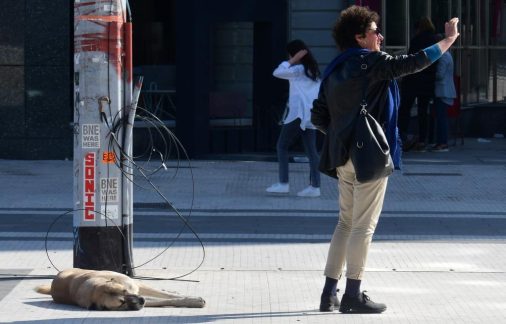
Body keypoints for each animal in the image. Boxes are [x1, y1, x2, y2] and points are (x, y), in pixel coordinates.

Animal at [34, 268, 206, 312]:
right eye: (121, 303)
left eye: (125, 291)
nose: (141, 300)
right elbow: (161, 300)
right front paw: (193, 301)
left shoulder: (135, 287)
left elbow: (166, 295)